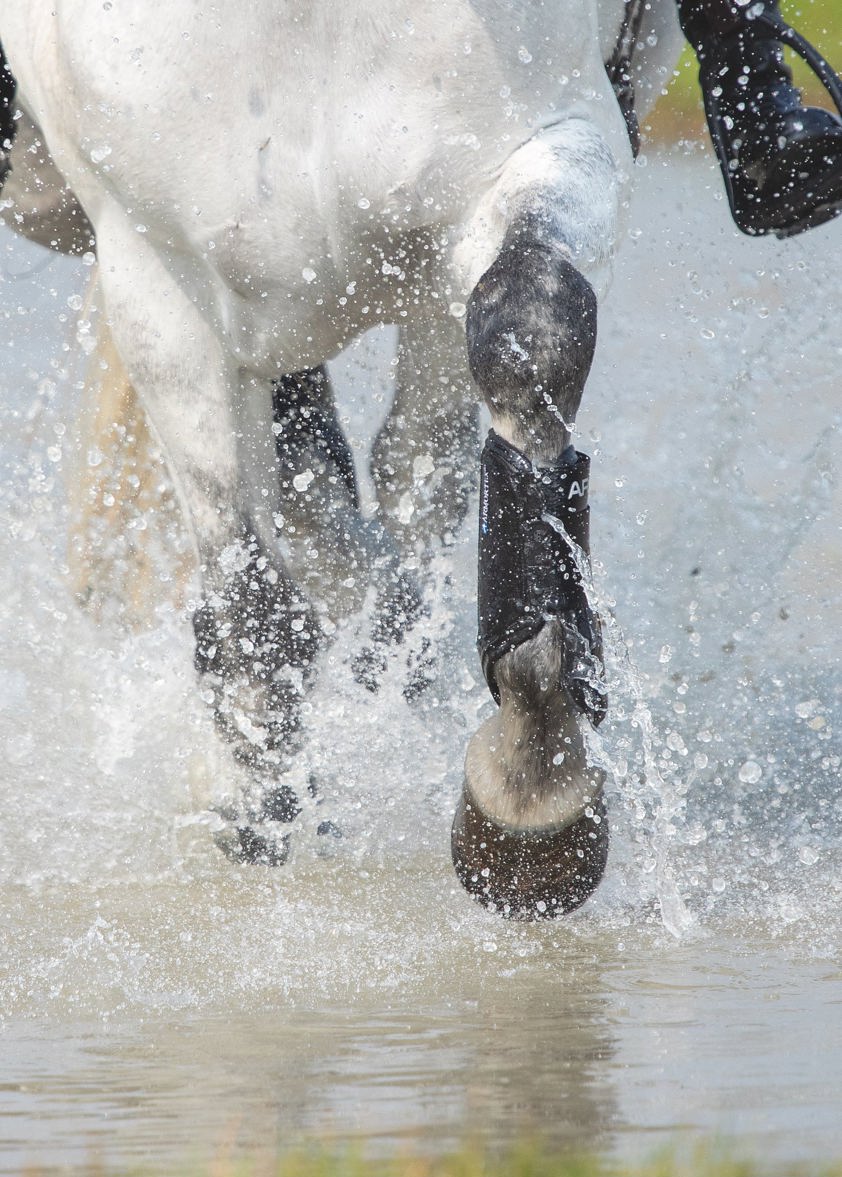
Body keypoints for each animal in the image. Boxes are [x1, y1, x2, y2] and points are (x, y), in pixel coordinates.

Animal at [0, 0, 683, 913]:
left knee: (402, 474)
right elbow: (252, 593)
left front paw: (532, 778)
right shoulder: (156, 273)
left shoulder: (537, 154)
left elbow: (529, 334)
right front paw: (257, 808)